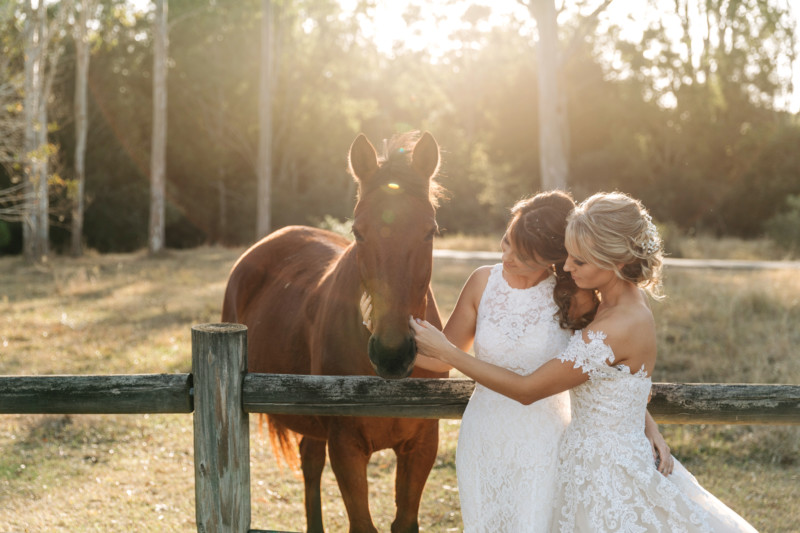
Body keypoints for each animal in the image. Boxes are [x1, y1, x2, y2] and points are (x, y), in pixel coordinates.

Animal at [222, 130, 446, 532]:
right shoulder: (346, 447)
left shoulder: (422, 445)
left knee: (309, 459)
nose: (392, 354)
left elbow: (404, 521)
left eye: (429, 231)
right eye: (358, 231)